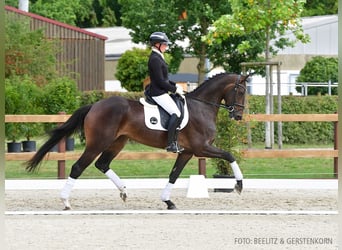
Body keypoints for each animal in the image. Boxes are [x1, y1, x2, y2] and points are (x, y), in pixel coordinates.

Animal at [25, 72, 247, 209]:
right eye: (242, 91)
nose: (238, 116)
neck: (202, 107)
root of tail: (95, 105)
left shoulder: (187, 151)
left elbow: (174, 175)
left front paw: (168, 201)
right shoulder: (201, 148)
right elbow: (229, 155)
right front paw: (238, 185)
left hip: (117, 142)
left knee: (102, 164)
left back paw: (123, 191)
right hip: (98, 142)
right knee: (78, 167)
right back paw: (66, 202)